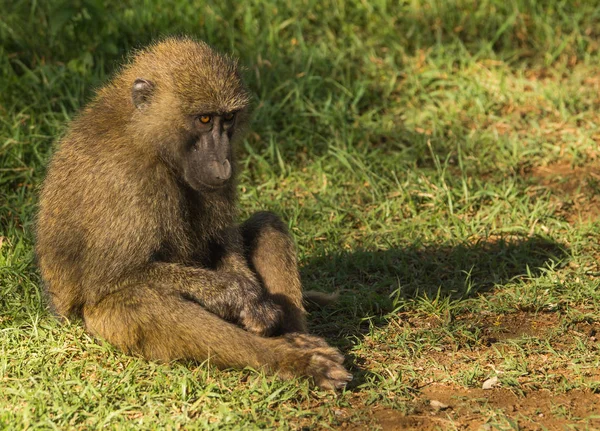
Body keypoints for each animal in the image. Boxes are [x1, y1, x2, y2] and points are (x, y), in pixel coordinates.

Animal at [36, 38, 352, 392]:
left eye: (227, 119)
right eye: (203, 120)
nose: (222, 164)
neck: (145, 135)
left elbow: (224, 241)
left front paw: (254, 302)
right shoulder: (128, 180)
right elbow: (107, 279)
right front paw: (237, 295)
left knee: (268, 225)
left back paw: (297, 339)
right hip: (99, 326)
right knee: (135, 300)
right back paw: (291, 359)